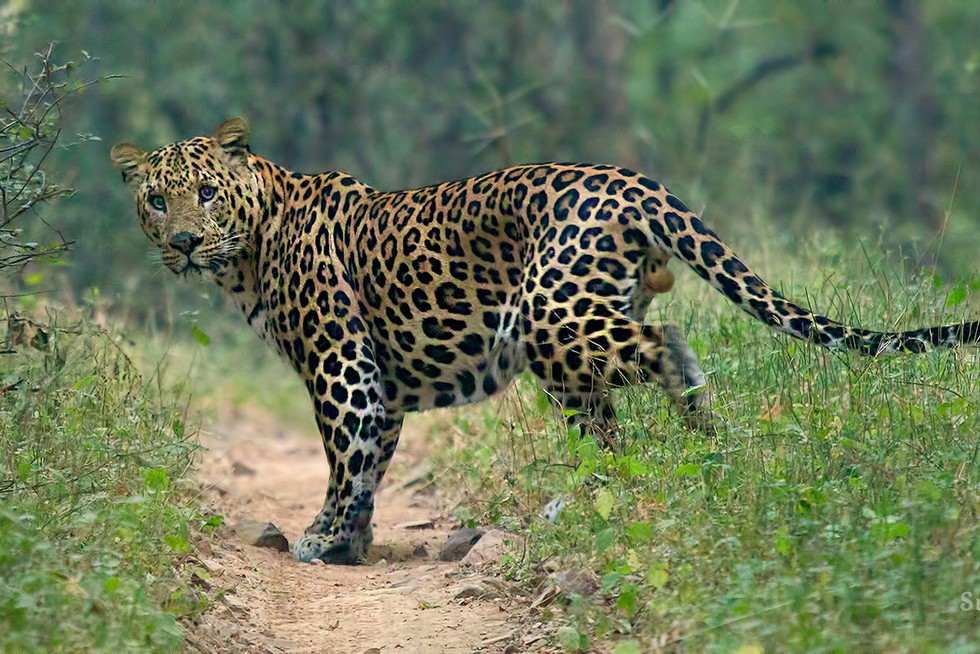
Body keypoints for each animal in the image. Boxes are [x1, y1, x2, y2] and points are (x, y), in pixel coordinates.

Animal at [111, 117, 979, 564]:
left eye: (207, 194)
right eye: (155, 200)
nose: (182, 243)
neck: (251, 247)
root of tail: (638, 182)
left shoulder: (341, 364)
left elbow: (343, 456)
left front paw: (321, 539)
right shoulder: (381, 382)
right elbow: (372, 459)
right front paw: (351, 542)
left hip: (550, 313)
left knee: (668, 344)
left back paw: (702, 441)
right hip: (568, 341)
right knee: (608, 426)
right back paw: (606, 495)